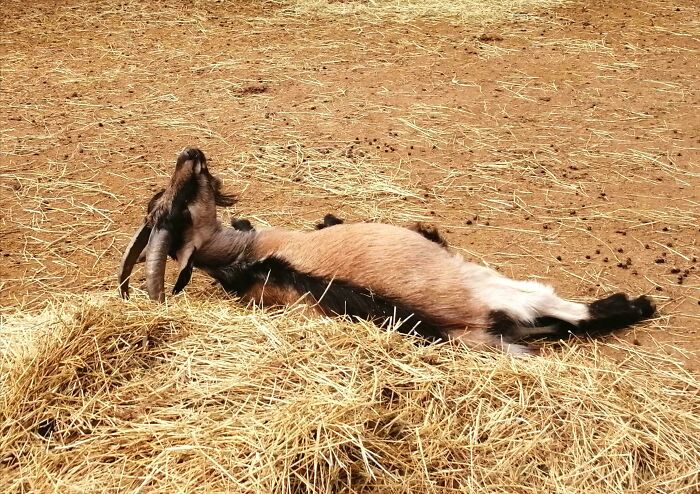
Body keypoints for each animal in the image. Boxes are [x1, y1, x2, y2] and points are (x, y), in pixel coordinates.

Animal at [118, 147, 656, 354]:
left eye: (169, 204)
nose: (190, 154)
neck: (248, 257)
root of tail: (470, 325)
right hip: (498, 287)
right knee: (568, 313)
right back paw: (638, 305)